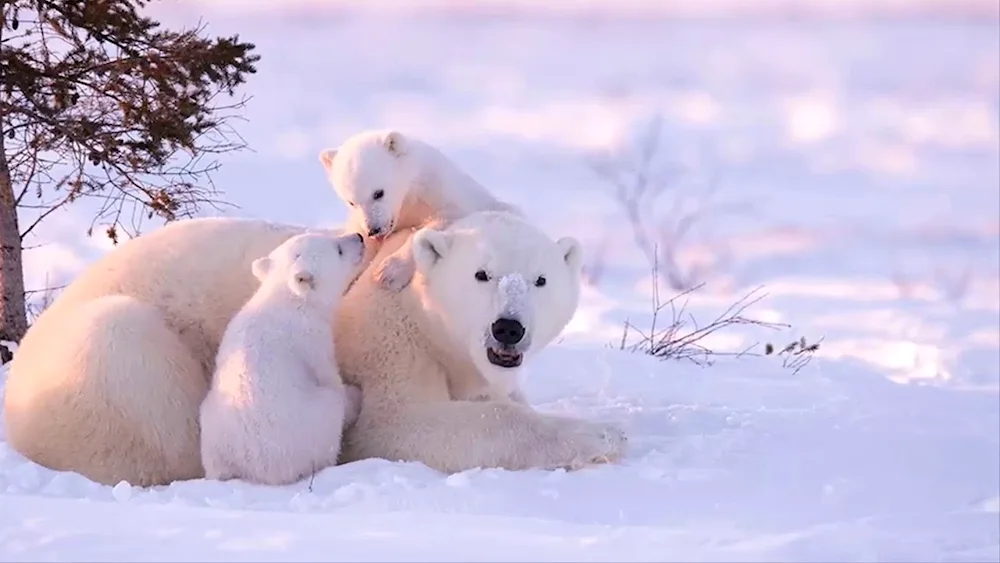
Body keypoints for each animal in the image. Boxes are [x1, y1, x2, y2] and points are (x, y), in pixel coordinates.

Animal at [197, 231, 366, 486]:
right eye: (338, 250)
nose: (359, 237)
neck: (288, 298)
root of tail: (256, 471)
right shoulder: (311, 341)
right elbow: (330, 379)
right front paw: (355, 394)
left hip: (212, 428)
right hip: (312, 425)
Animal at [320, 130, 524, 294]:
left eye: (378, 193)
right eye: (351, 202)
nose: (374, 230)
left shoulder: (440, 192)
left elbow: (443, 219)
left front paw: (388, 272)